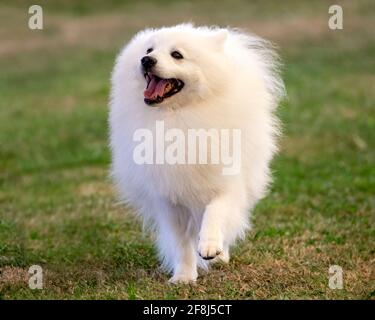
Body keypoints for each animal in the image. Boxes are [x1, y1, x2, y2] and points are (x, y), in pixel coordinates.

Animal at [109, 24, 284, 282]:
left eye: (177, 55)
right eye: (149, 50)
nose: (146, 60)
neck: (176, 118)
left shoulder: (226, 184)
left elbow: (215, 211)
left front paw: (210, 246)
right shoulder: (170, 199)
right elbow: (182, 243)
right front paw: (183, 277)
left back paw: (220, 254)